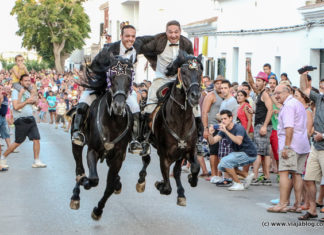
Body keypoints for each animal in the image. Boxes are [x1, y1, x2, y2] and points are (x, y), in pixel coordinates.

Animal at [69, 55, 134, 220]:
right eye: (112, 76)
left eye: (129, 78)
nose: (118, 106)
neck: (113, 122)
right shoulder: (93, 150)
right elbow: (93, 179)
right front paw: (85, 182)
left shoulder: (118, 156)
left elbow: (109, 186)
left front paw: (98, 210)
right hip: (77, 142)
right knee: (79, 168)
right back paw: (76, 194)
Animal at [136, 51, 202, 206]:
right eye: (183, 72)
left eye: (200, 72)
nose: (195, 96)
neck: (181, 120)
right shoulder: (164, 155)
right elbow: (167, 188)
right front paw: (160, 184)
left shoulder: (188, 151)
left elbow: (195, 167)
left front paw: (192, 179)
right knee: (146, 159)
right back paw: (141, 180)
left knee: (176, 171)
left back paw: (181, 193)